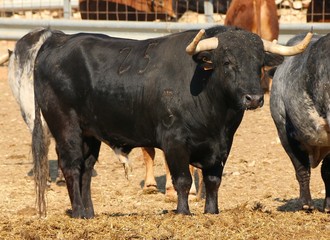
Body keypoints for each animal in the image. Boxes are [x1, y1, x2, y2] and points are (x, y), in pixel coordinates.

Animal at [31, 25, 312, 218]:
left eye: (259, 63)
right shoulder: (174, 141)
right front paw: (183, 212)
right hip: (66, 127)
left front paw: (212, 212)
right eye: (227, 61)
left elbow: (213, 180)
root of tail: (58, 40)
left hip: (90, 134)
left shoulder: (223, 146)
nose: (253, 98)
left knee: (87, 170)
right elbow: (183, 180)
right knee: (72, 167)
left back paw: (90, 213)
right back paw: (79, 212)